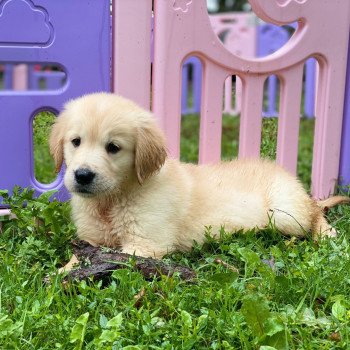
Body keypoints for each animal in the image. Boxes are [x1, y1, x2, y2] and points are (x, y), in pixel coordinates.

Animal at [50, 91, 348, 258]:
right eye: (75, 142)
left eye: (113, 147)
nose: (83, 175)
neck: (112, 200)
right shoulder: (91, 240)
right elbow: (77, 258)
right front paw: (62, 272)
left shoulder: (145, 245)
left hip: (285, 212)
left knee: (314, 213)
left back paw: (326, 233)